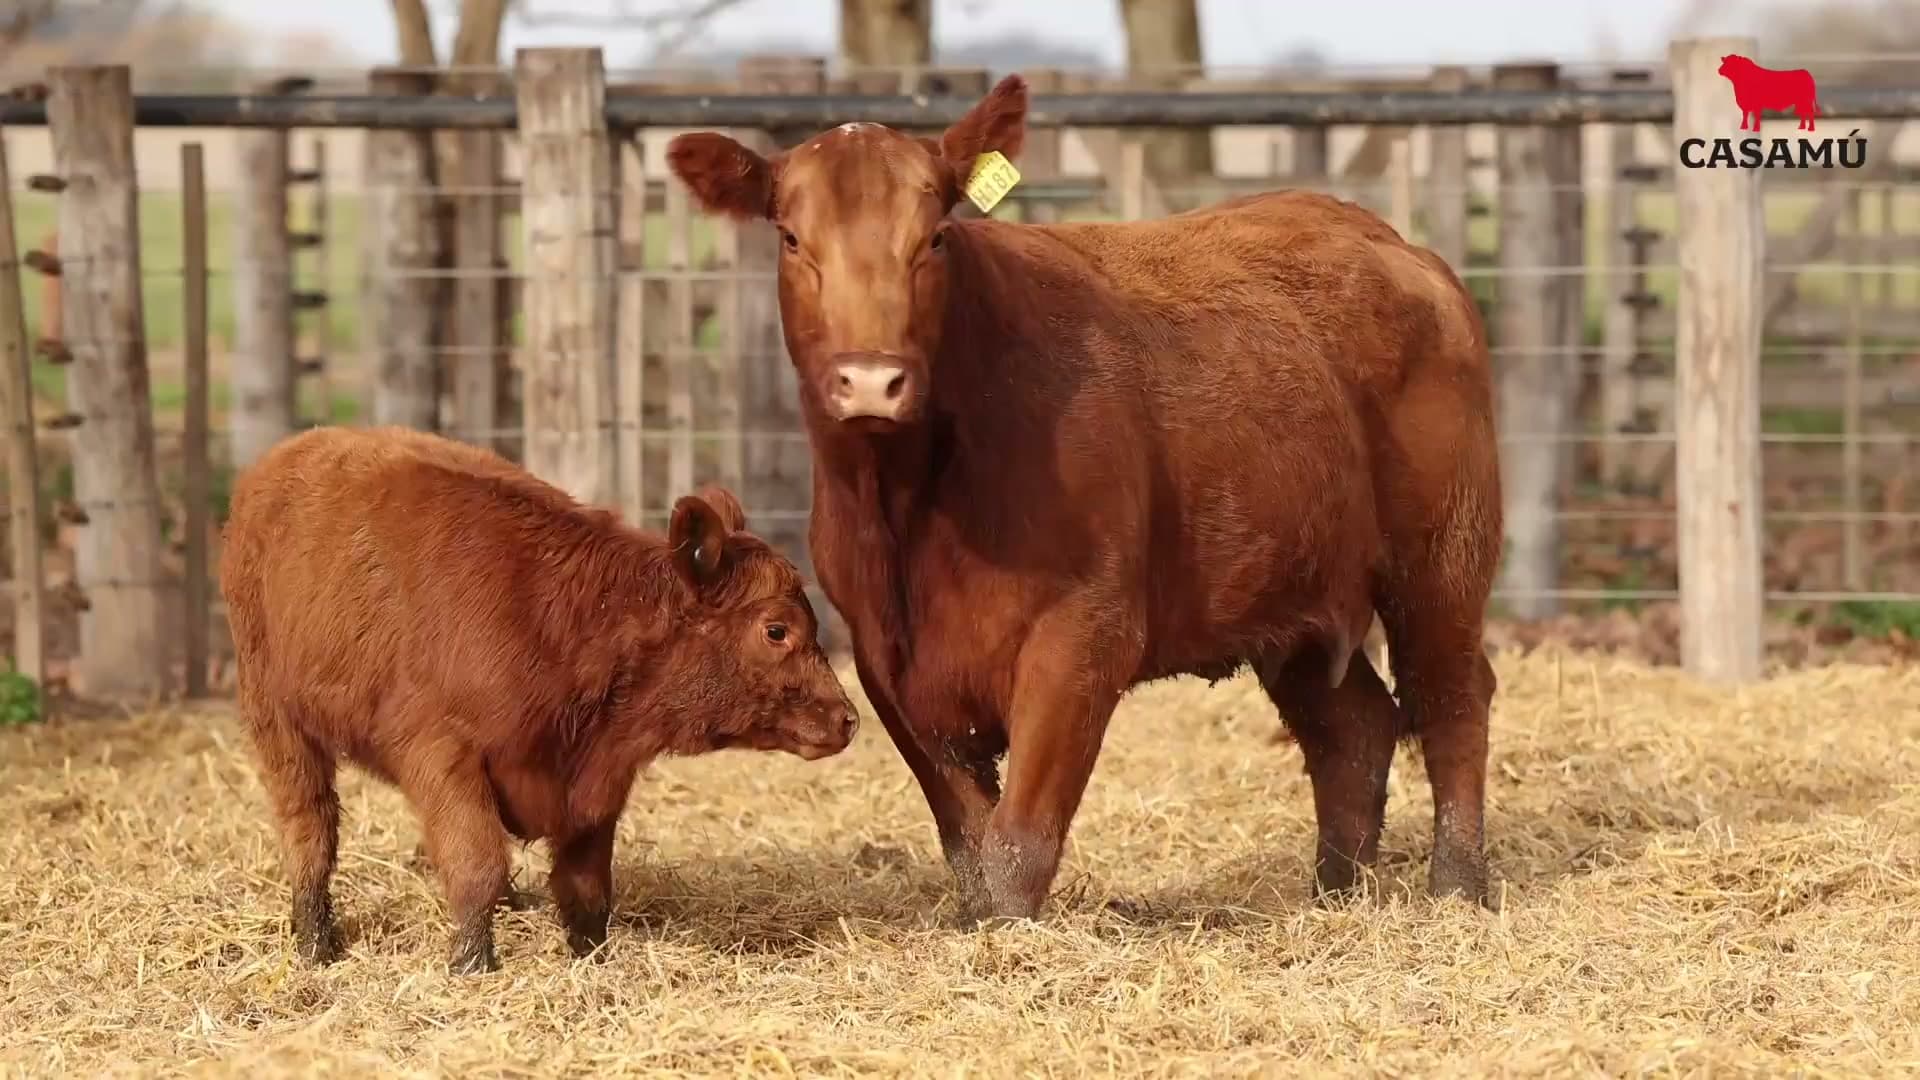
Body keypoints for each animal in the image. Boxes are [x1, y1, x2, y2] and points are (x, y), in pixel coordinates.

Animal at [220, 426, 860, 973]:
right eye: (776, 630)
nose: (848, 718)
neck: (570, 623)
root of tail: (285, 458)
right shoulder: (443, 756)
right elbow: (476, 865)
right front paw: (473, 964)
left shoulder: (597, 787)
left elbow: (586, 885)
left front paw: (592, 957)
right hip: (279, 723)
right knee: (311, 829)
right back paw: (314, 942)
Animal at [663, 75, 1504, 925]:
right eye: (792, 239)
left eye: (933, 238)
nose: (871, 380)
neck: (907, 506)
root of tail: (1395, 246)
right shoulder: (883, 658)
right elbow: (969, 839)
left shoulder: (1083, 634)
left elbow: (1017, 841)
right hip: (1291, 596)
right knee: (1354, 729)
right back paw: (1335, 896)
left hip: (1442, 556)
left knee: (1452, 697)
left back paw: (1457, 887)